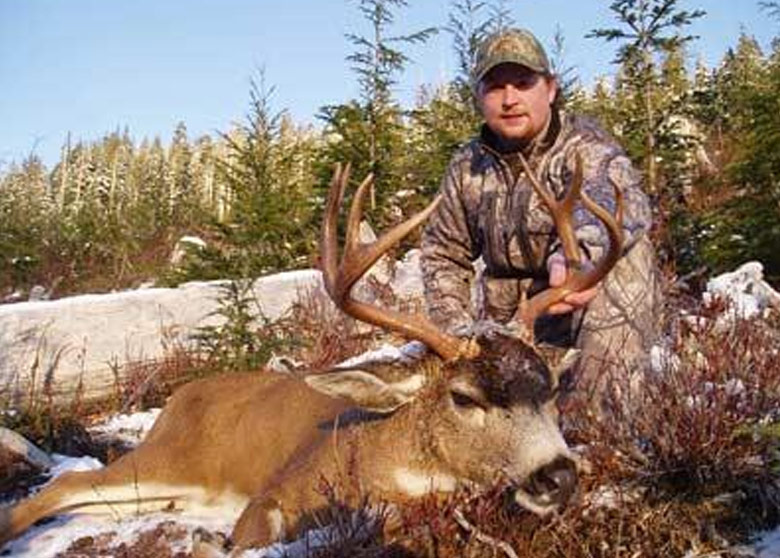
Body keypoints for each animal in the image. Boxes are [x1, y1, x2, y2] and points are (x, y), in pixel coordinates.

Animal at [0, 156, 623, 556]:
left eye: (548, 389)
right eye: (464, 397)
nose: (557, 474)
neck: (394, 463)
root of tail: (178, 398)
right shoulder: (277, 494)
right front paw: (211, 543)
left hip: (163, 492)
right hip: (165, 460)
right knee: (60, 488)